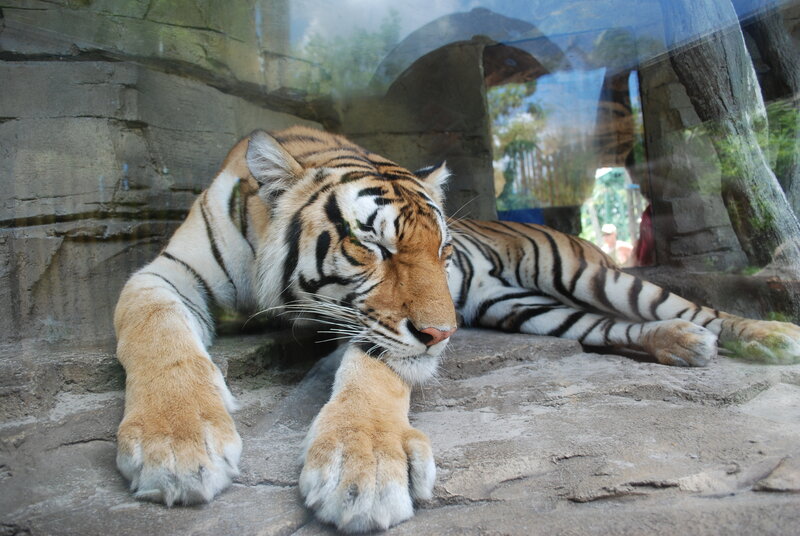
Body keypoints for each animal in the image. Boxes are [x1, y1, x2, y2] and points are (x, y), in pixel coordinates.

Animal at [114, 125, 800, 533]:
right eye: (375, 246)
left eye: (443, 251)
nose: (445, 335)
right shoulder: (163, 275)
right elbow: (154, 332)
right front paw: (177, 444)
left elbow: (374, 376)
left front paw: (364, 469)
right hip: (534, 308)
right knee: (608, 327)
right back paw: (678, 344)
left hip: (590, 275)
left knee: (687, 306)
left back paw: (768, 337)